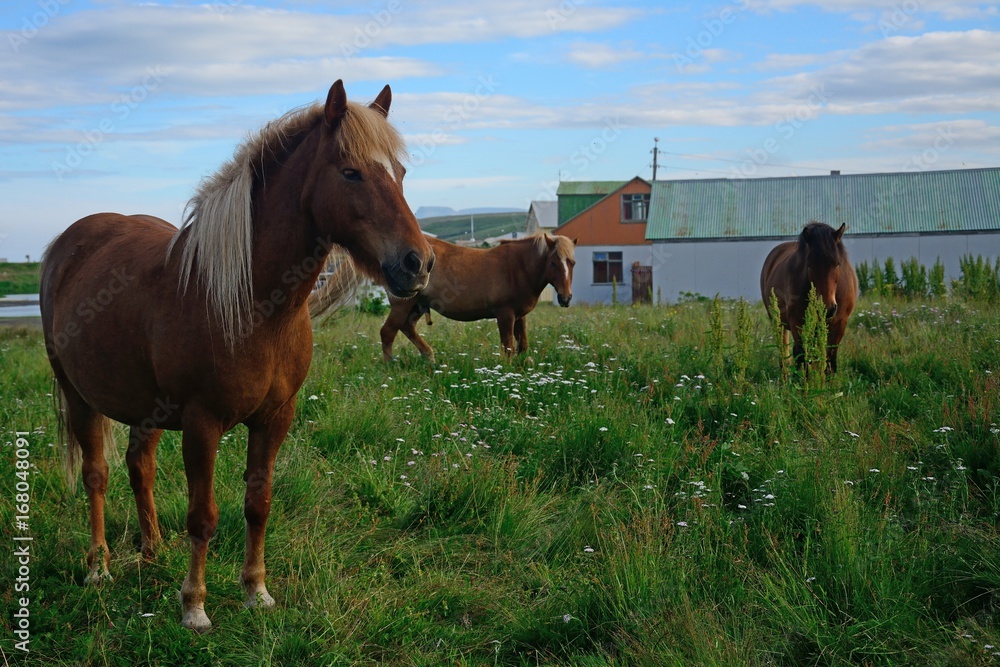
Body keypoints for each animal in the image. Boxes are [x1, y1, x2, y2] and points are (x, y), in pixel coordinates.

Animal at [40, 80, 434, 632]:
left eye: (399, 173)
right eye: (350, 172)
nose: (417, 263)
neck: (253, 305)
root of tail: (66, 243)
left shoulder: (275, 418)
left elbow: (258, 504)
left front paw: (256, 591)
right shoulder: (202, 424)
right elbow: (203, 517)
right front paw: (194, 606)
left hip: (146, 408)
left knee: (140, 467)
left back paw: (152, 551)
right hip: (78, 397)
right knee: (96, 474)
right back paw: (99, 567)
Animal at [311, 234, 575, 362]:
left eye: (571, 262)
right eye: (553, 263)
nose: (565, 298)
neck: (517, 266)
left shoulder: (520, 316)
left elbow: (523, 344)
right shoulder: (505, 315)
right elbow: (508, 346)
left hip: (416, 305)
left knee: (406, 328)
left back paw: (429, 357)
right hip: (402, 305)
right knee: (388, 332)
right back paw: (390, 365)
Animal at [760, 221, 858, 373]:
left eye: (837, 264)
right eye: (810, 265)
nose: (827, 308)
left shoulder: (839, 324)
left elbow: (830, 361)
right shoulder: (798, 322)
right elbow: (804, 357)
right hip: (778, 322)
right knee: (785, 355)